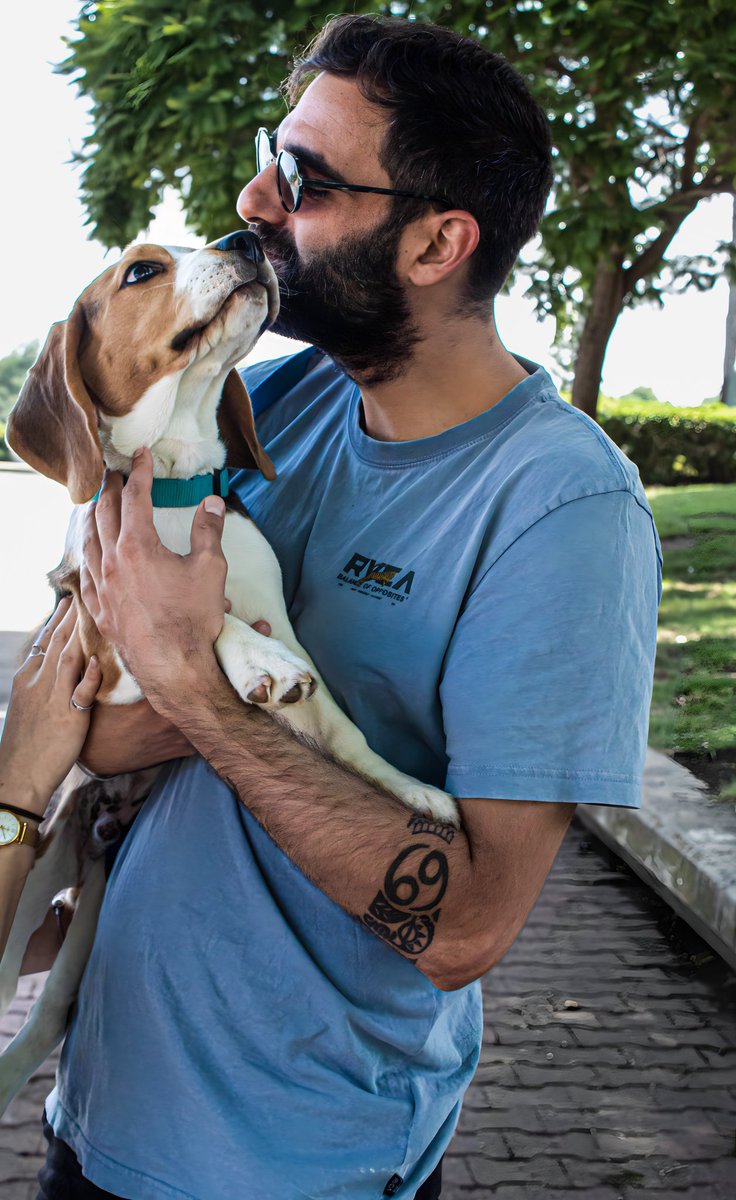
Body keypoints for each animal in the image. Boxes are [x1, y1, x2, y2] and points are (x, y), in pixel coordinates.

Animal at [0, 234, 456, 1113]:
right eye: (143, 270)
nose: (246, 241)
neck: (172, 497)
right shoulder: (103, 650)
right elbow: (196, 623)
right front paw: (255, 661)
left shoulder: (285, 625)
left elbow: (347, 733)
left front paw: (413, 793)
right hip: (34, 871)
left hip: (88, 905)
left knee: (46, 1018)